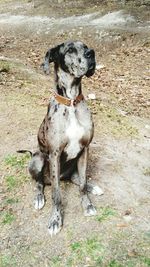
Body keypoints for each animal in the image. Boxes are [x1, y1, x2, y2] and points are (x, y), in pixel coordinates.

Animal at [20, 40, 103, 237]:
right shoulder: (55, 154)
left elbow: (82, 184)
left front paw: (87, 205)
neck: (71, 103)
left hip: (73, 165)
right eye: (70, 49)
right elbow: (56, 194)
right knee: (40, 182)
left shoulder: (85, 149)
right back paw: (39, 197)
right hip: (38, 159)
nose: (91, 53)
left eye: (86, 46)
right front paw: (55, 220)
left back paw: (92, 187)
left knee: (77, 179)